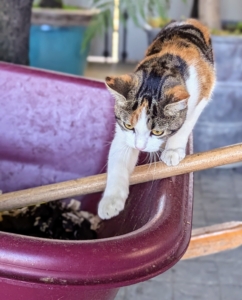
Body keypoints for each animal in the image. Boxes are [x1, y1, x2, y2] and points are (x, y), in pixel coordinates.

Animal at [98, 19, 216, 220]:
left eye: (157, 131)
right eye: (129, 125)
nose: (140, 147)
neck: (159, 70)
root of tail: (188, 20)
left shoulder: (201, 95)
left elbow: (186, 123)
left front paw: (172, 151)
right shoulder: (123, 132)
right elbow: (119, 154)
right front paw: (111, 201)